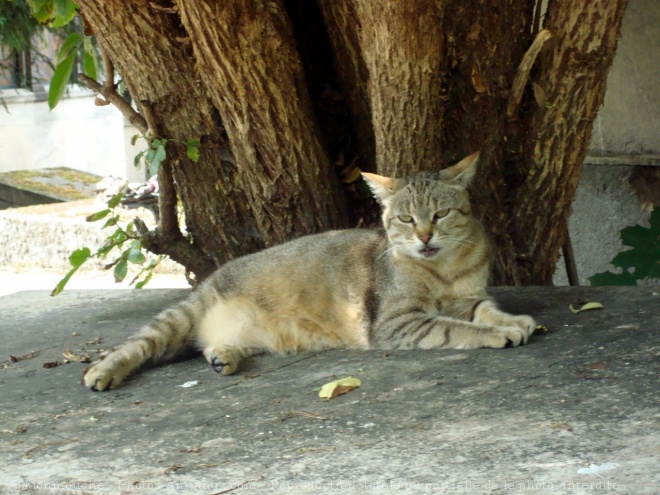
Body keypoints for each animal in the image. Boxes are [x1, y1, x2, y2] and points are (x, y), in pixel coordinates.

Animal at [82, 153, 536, 394]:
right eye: (406, 219)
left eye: (440, 214)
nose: (424, 236)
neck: (443, 270)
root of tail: (211, 277)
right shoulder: (398, 322)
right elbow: (456, 327)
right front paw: (497, 333)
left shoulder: (472, 298)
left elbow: (487, 311)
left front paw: (515, 320)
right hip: (176, 320)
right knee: (135, 346)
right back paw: (103, 372)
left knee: (211, 345)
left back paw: (222, 356)